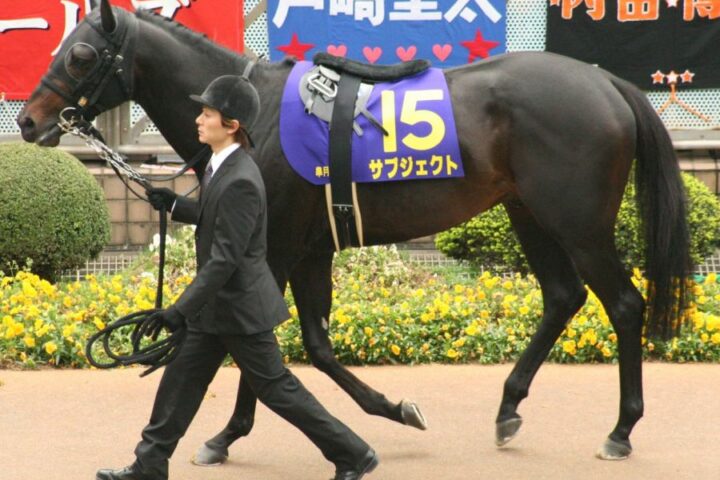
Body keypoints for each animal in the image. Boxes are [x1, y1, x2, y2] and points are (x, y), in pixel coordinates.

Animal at [16, 0, 692, 464]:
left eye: (79, 55)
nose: (28, 121)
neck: (256, 116)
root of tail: (607, 81)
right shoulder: (311, 249)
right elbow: (314, 344)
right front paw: (391, 409)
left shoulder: (276, 244)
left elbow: (259, 341)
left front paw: (227, 433)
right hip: (529, 212)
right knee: (562, 296)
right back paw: (507, 409)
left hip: (578, 222)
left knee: (623, 303)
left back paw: (620, 430)